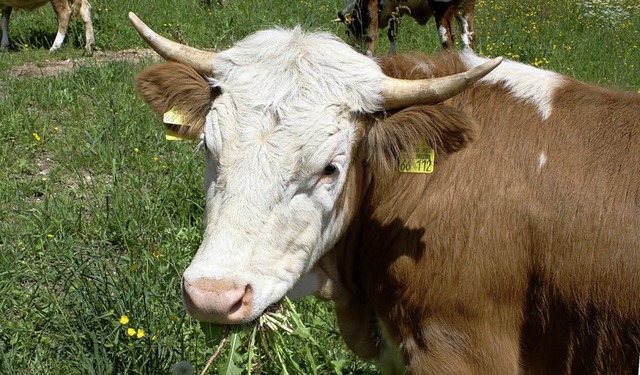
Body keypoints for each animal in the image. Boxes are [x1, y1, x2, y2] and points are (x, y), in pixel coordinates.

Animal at [340, 0, 476, 55]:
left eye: (347, 31)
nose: (352, 48)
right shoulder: (396, 12)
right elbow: (392, 35)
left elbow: (371, 36)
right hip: (464, 9)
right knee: (469, 37)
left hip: (442, 8)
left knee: (446, 40)